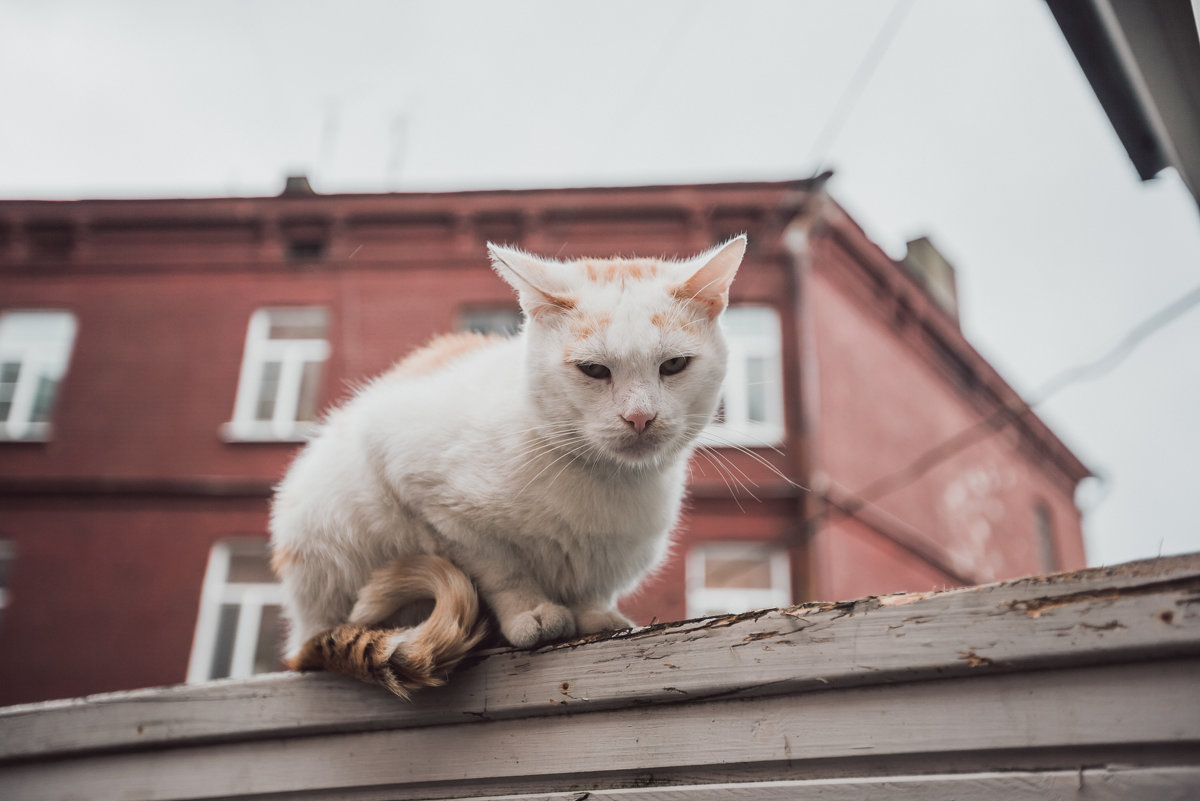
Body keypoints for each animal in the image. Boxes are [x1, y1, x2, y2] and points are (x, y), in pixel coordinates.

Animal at [270, 232, 748, 695]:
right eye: (594, 370)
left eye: (674, 365)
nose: (639, 417)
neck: (603, 478)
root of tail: (301, 640)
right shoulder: (425, 491)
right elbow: (500, 567)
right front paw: (531, 611)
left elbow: (587, 588)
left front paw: (591, 614)